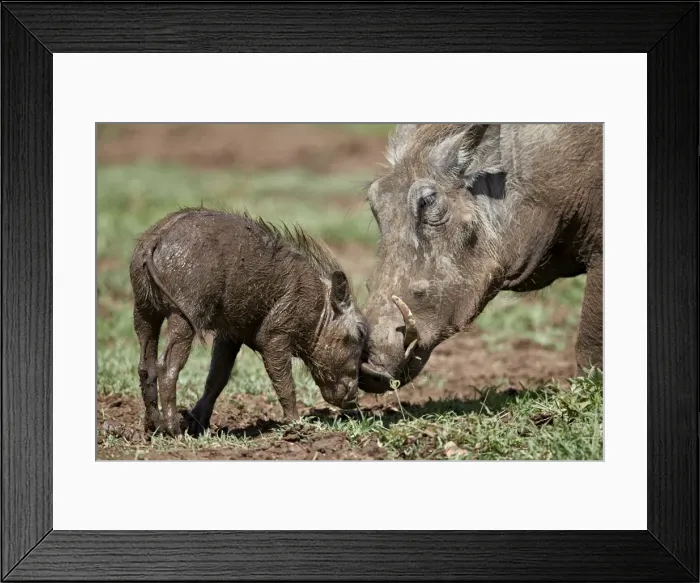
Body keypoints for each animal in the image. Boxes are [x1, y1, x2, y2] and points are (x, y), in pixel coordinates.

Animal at [129, 207, 368, 437]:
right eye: (359, 334)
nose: (354, 400)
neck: (320, 309)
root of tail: (155, 239)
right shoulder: (274, 335)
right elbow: (285, 383)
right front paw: (297, 425)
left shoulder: (230, 335)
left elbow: (217, 378)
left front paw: (198, 424)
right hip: (184, 314)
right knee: (166, 365)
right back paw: (174, 431)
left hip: (143, 310)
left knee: (145, 366)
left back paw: (154, 427)